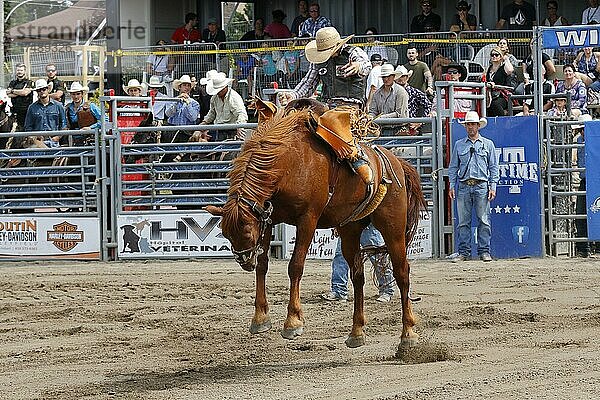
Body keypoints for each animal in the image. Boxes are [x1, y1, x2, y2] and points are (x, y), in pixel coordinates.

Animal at [206, 108, 426, 348]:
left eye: (245, 232)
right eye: (226, 234)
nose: (244, 261)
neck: (288, 163)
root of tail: (397, 162)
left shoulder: (307, 220)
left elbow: (295, 266)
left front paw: (293, 321)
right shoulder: (268, 219)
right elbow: (262, 265)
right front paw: (260, 318)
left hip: (392, 227)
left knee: (401, 273)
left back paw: (408, 333)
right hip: (350, 228)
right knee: (357, 275)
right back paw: (356, 331)